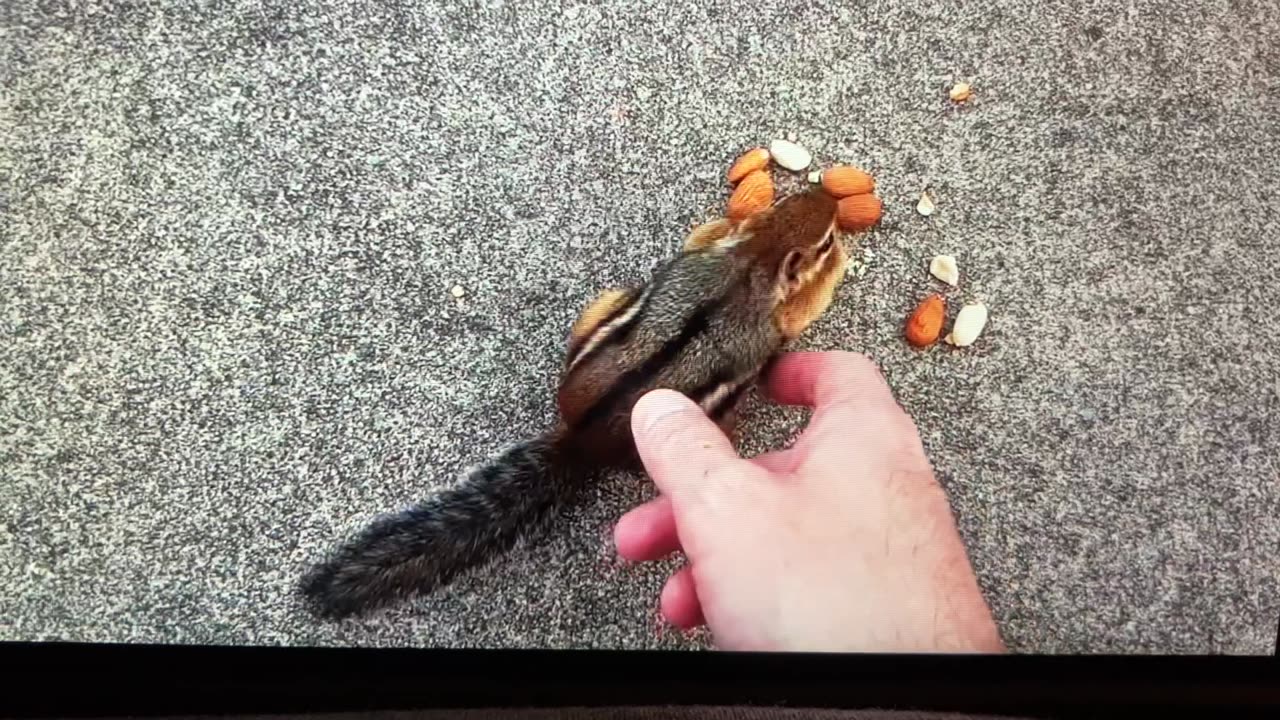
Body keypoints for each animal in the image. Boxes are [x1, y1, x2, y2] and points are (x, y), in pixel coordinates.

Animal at [298, 187, 850, 619]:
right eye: (823, 240)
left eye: (789, 198)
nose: (830, 199)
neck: (758, 256)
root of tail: (583, 440)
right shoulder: (775, 313)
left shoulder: (707, 246)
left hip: (599, 307)